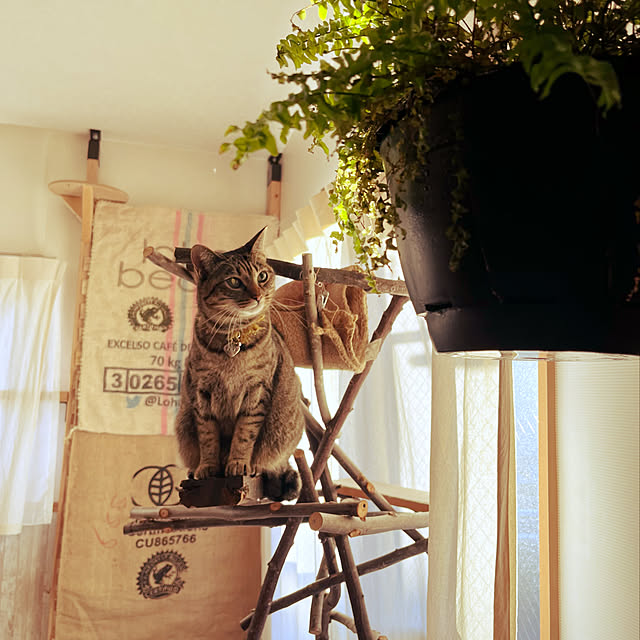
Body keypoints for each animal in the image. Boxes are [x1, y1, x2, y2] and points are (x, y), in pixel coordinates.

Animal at [175, 227, 304, 501]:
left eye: (262, 276)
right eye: (234, 281)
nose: (257, 295)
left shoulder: (257, 390)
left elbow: (245, 434)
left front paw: (238, 463)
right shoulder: (201, 391)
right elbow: (208, 437)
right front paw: (208, 466)